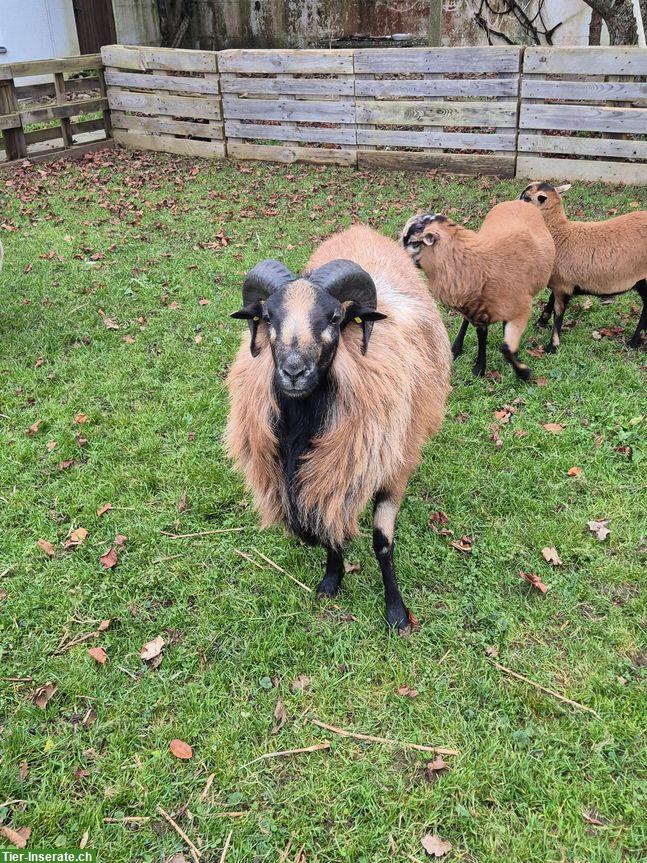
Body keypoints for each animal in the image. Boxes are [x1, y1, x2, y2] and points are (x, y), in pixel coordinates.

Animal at [225, 226, 454, 632]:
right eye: (267, 315)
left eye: (334, 317)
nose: (294, 371)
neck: (303, 420)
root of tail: (362, 230)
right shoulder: (326, 472)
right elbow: (329, 522)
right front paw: (332, 579)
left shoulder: (392, 466)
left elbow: (382, 542)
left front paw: (396, 611)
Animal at [402, 202, 556, 382]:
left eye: (412, 242)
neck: (481, 262)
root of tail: (519, 202)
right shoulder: (479, 312)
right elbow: (483, 336)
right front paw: (480, 369)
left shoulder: (522, 310)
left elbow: (505, 348)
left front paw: (523, 372)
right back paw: (456, 348)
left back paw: (543, 320)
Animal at [520, 182, 647, 352]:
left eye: (526, 198)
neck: (559, 234)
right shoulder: (560, 281)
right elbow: (550, 302)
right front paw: (540, 323)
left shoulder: (563, 285)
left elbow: (558, 312)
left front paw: (552, 346)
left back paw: (633, 342)